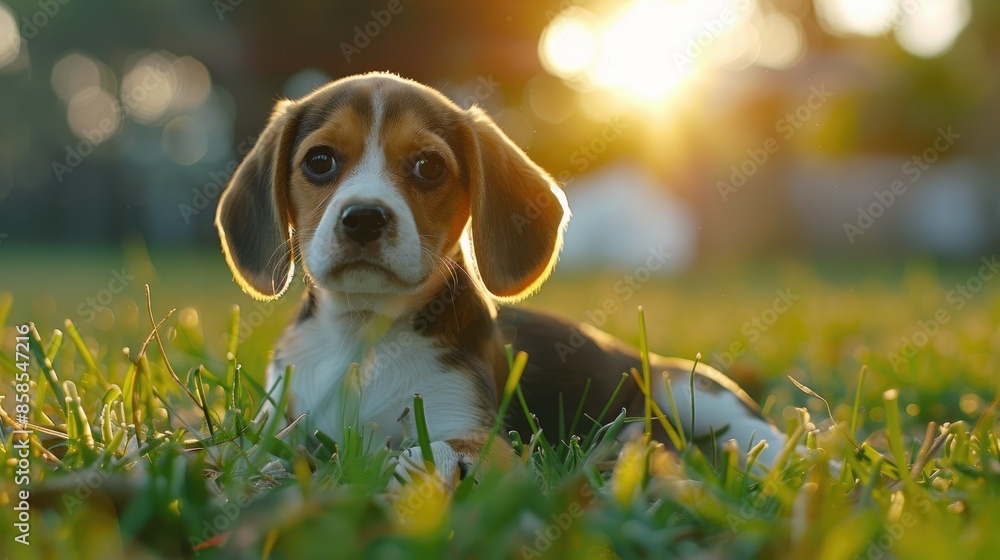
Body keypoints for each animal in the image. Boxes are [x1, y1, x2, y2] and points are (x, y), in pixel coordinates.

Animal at [215, 72, 784, 484]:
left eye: (428, 166)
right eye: (319, 161)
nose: (364, 218)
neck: (364, 333)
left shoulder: (474, 429)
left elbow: (447, 447)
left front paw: (425, 466)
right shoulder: (282, 417)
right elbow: (255, 456)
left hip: (682, 388)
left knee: (754, 429)